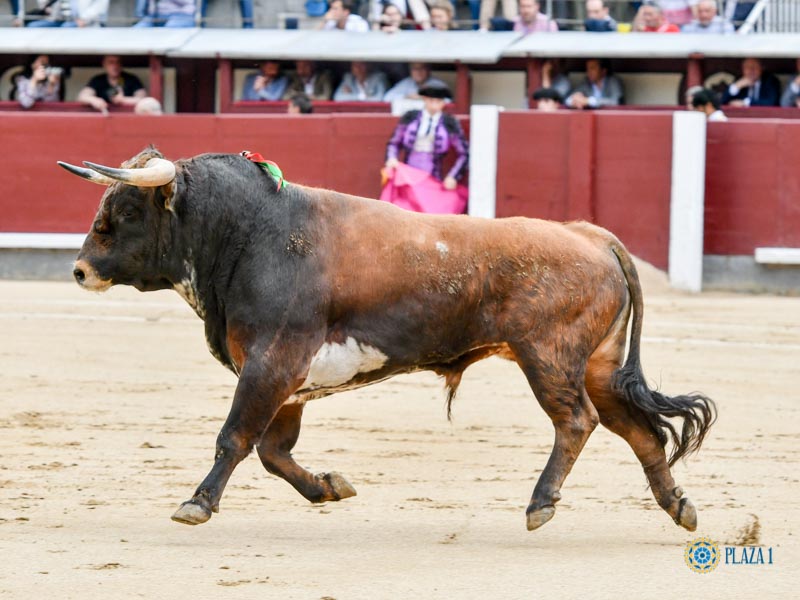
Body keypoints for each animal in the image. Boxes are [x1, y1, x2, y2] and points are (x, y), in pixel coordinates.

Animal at [59, 149, 716, 528]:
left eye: (127, 210)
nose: (80, 269)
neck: (250, 234)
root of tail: (589, 234)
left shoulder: (271, 364)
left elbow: (235, 438)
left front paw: (197, 503)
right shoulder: (287, 379)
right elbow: (275, 452)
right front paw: (329, 488)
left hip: (549, 360)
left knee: (577, 421)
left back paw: (541, 504)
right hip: (597, 365)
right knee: (636, 429)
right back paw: (678, 507)